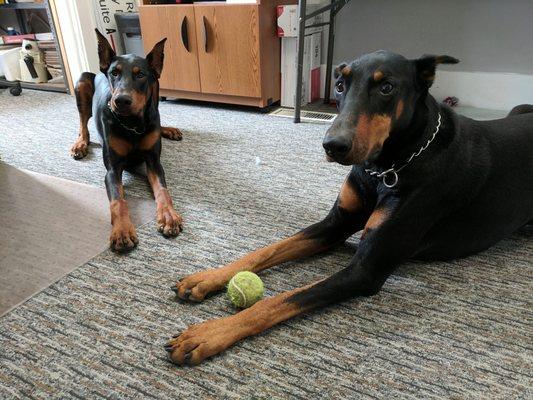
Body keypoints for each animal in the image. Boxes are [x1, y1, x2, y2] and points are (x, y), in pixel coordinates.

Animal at [69, 29, 182, 252]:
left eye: (140, 74)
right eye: (115, 73)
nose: (121, 100)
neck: (132, 124)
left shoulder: (153, 162)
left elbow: (163, 190)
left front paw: (168, 216)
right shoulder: (113, 170)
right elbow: (118, 201)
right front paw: (122, 231)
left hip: (156, 86)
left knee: (156, 110)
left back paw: (168, 130)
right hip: (82, 81)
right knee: (83, 123)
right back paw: (80, 144)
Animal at [166, 50, 532, 366]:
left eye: (386, 87)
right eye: (340, 85)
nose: (333, 145)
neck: (386, 167)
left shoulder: (364, 270)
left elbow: (279, 300)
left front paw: (207, 334)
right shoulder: (336, 225)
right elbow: (266, 251)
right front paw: (207, 278)